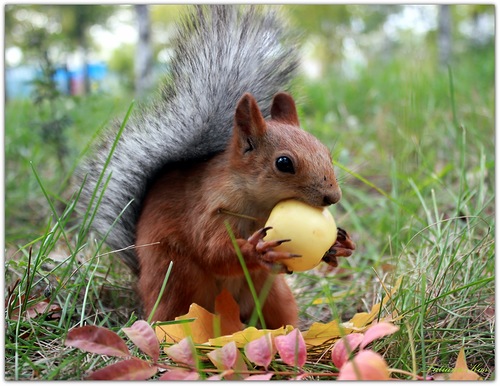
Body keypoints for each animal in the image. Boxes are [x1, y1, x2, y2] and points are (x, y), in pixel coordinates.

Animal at [76, 5, 354, 328]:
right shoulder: (206, 211)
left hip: (273, 295)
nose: (332, 197)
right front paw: (255, 250)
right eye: (284, 163)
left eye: (325, 151)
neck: (260, 207)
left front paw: (339, 245)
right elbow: (213, 252)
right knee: (173, 316)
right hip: (177, 280)